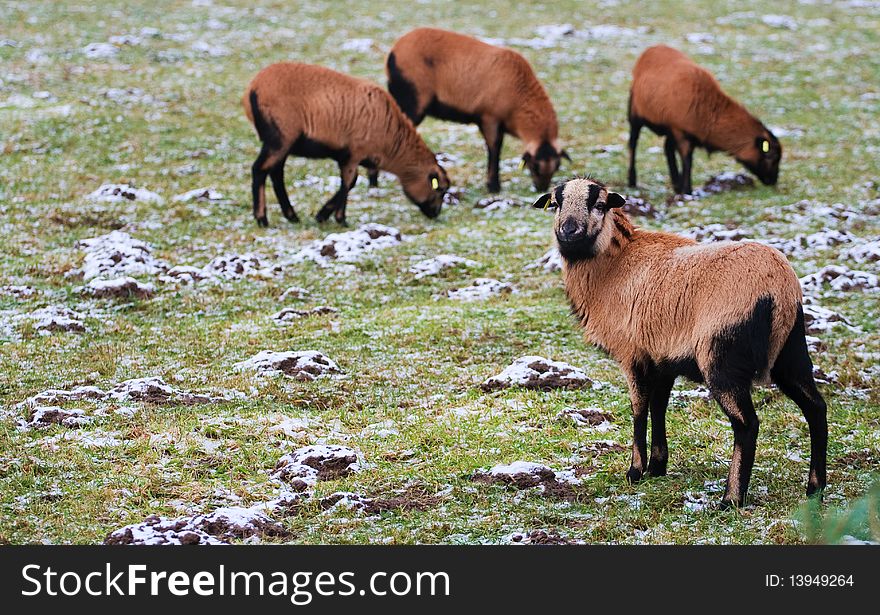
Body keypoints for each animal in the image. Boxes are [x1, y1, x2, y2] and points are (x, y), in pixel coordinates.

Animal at [242, 62, 450, 227]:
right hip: (279, 137)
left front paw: (323, 215)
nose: (435, 214)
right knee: (260, 170)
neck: (393, 141)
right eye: (438, 189)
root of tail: (252, 88)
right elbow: (349, 182)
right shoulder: (354, 153)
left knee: (276, 174)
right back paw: (262, 218)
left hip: (283, 143)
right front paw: (340, 219)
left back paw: (291, 216)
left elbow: (349, 183)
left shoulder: (347, 156)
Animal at [378, 26, 572, 194]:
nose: (541, 189)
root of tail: (393, 52)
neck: (519, 97)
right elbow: (494, 149)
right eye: (535, 166)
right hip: (412, 100)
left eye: (557, 166)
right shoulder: (489, 118)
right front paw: (493, 186)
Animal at [532, 177, 828, 506]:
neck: (612, 266)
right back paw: (815, 488)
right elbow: (659, 405)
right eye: (556, 204)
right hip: (792, 350)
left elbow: (639, 408)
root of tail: (780, 291)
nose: (568, 231)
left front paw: (635, 471)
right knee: (816, 408)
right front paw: (657, 466)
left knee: (747, 424)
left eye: (598, 204)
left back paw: (731, 498)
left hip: (722, 357)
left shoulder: (633, 354)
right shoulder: (662, 357)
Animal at [624, 45, 784, 195]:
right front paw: (687, 191)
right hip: (635, 111)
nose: (773, 181)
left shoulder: (682, 131)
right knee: (633, 143)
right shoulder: (680, 131)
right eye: (772, 157)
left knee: (667, 149)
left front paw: (682, 188)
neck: (711, 111)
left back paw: (675, 185)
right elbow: (687, 161)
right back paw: (632, 181)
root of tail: (652, 48)